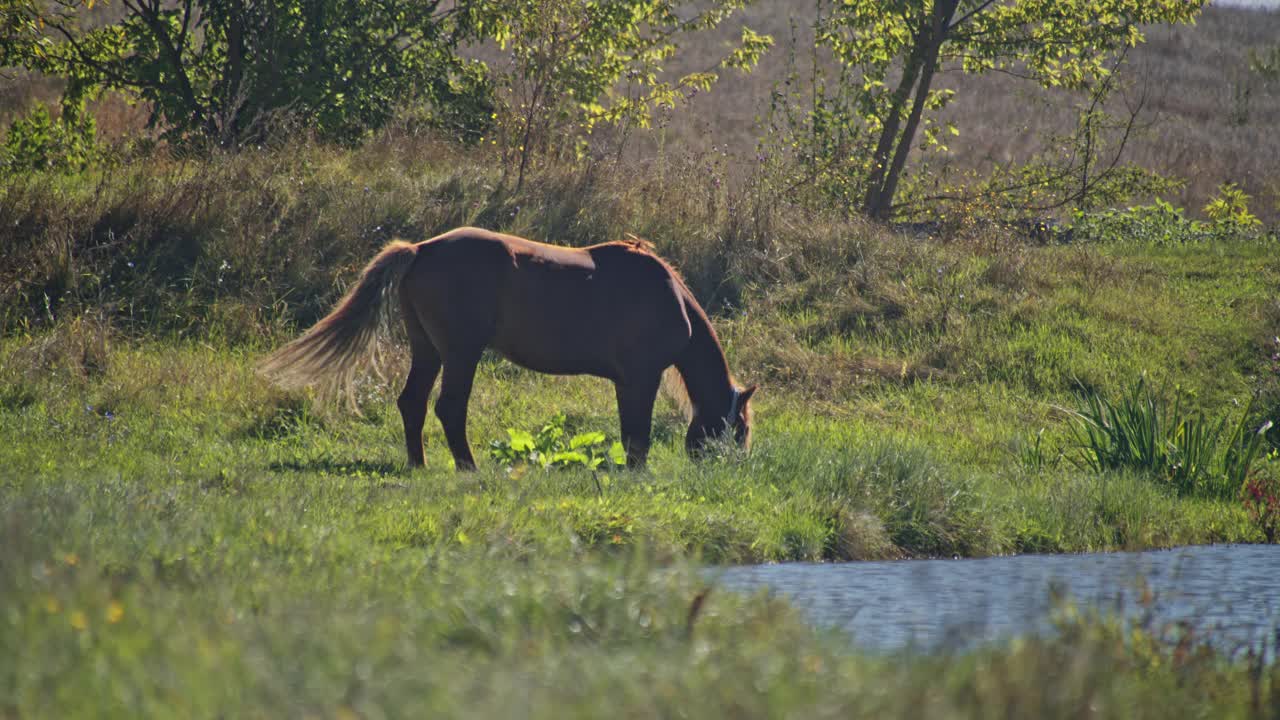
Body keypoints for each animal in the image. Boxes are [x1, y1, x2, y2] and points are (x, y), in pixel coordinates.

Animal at [263, 226, 752, 468]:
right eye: (741, 428)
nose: (735, 467)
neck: (668, 296)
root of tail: (420, 249)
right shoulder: (639, 379)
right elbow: (637, 436)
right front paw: (636, 476)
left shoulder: (629, 382)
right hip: (461, 353)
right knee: (449, 408)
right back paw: (468, 467)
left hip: (429, 351)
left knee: (412, 403)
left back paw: (420, 465)